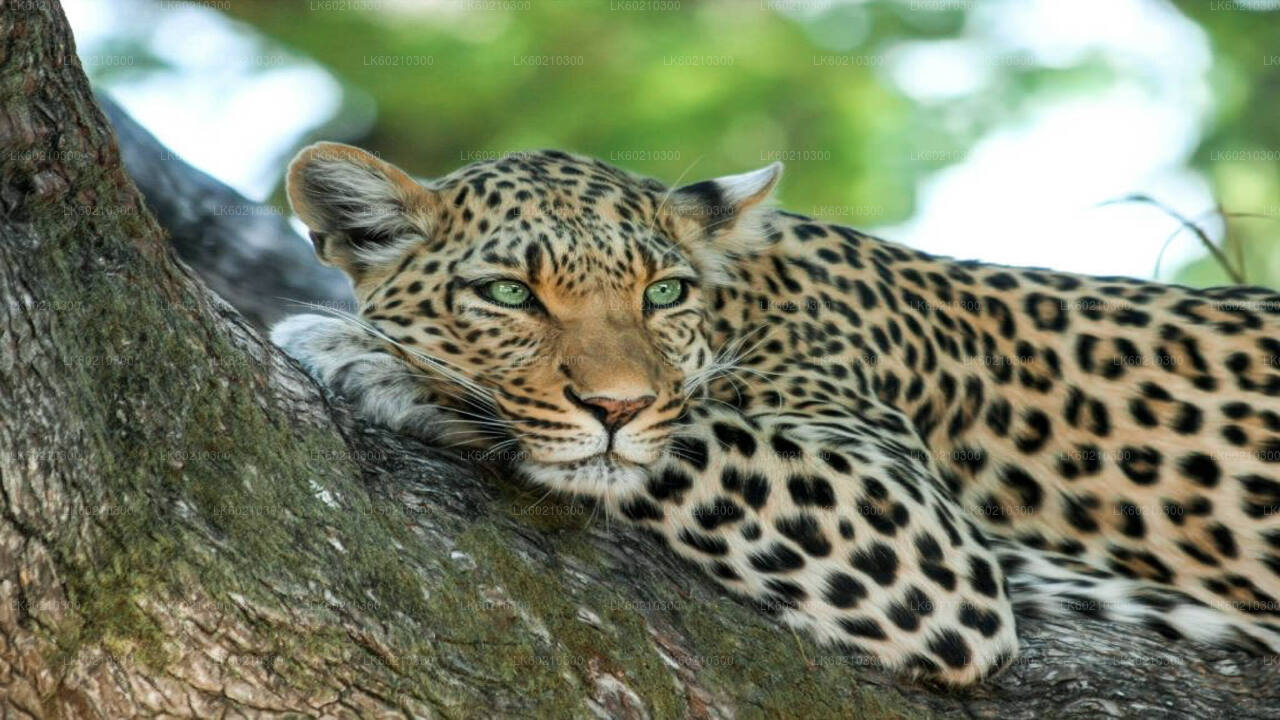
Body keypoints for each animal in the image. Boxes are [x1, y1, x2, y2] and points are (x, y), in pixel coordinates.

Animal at [275, 141, 1280, 681]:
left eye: (664, 293)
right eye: (509, 294)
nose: (615, 404)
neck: (746, 300)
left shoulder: (919, 536)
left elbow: (689, 436)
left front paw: (372, 357)